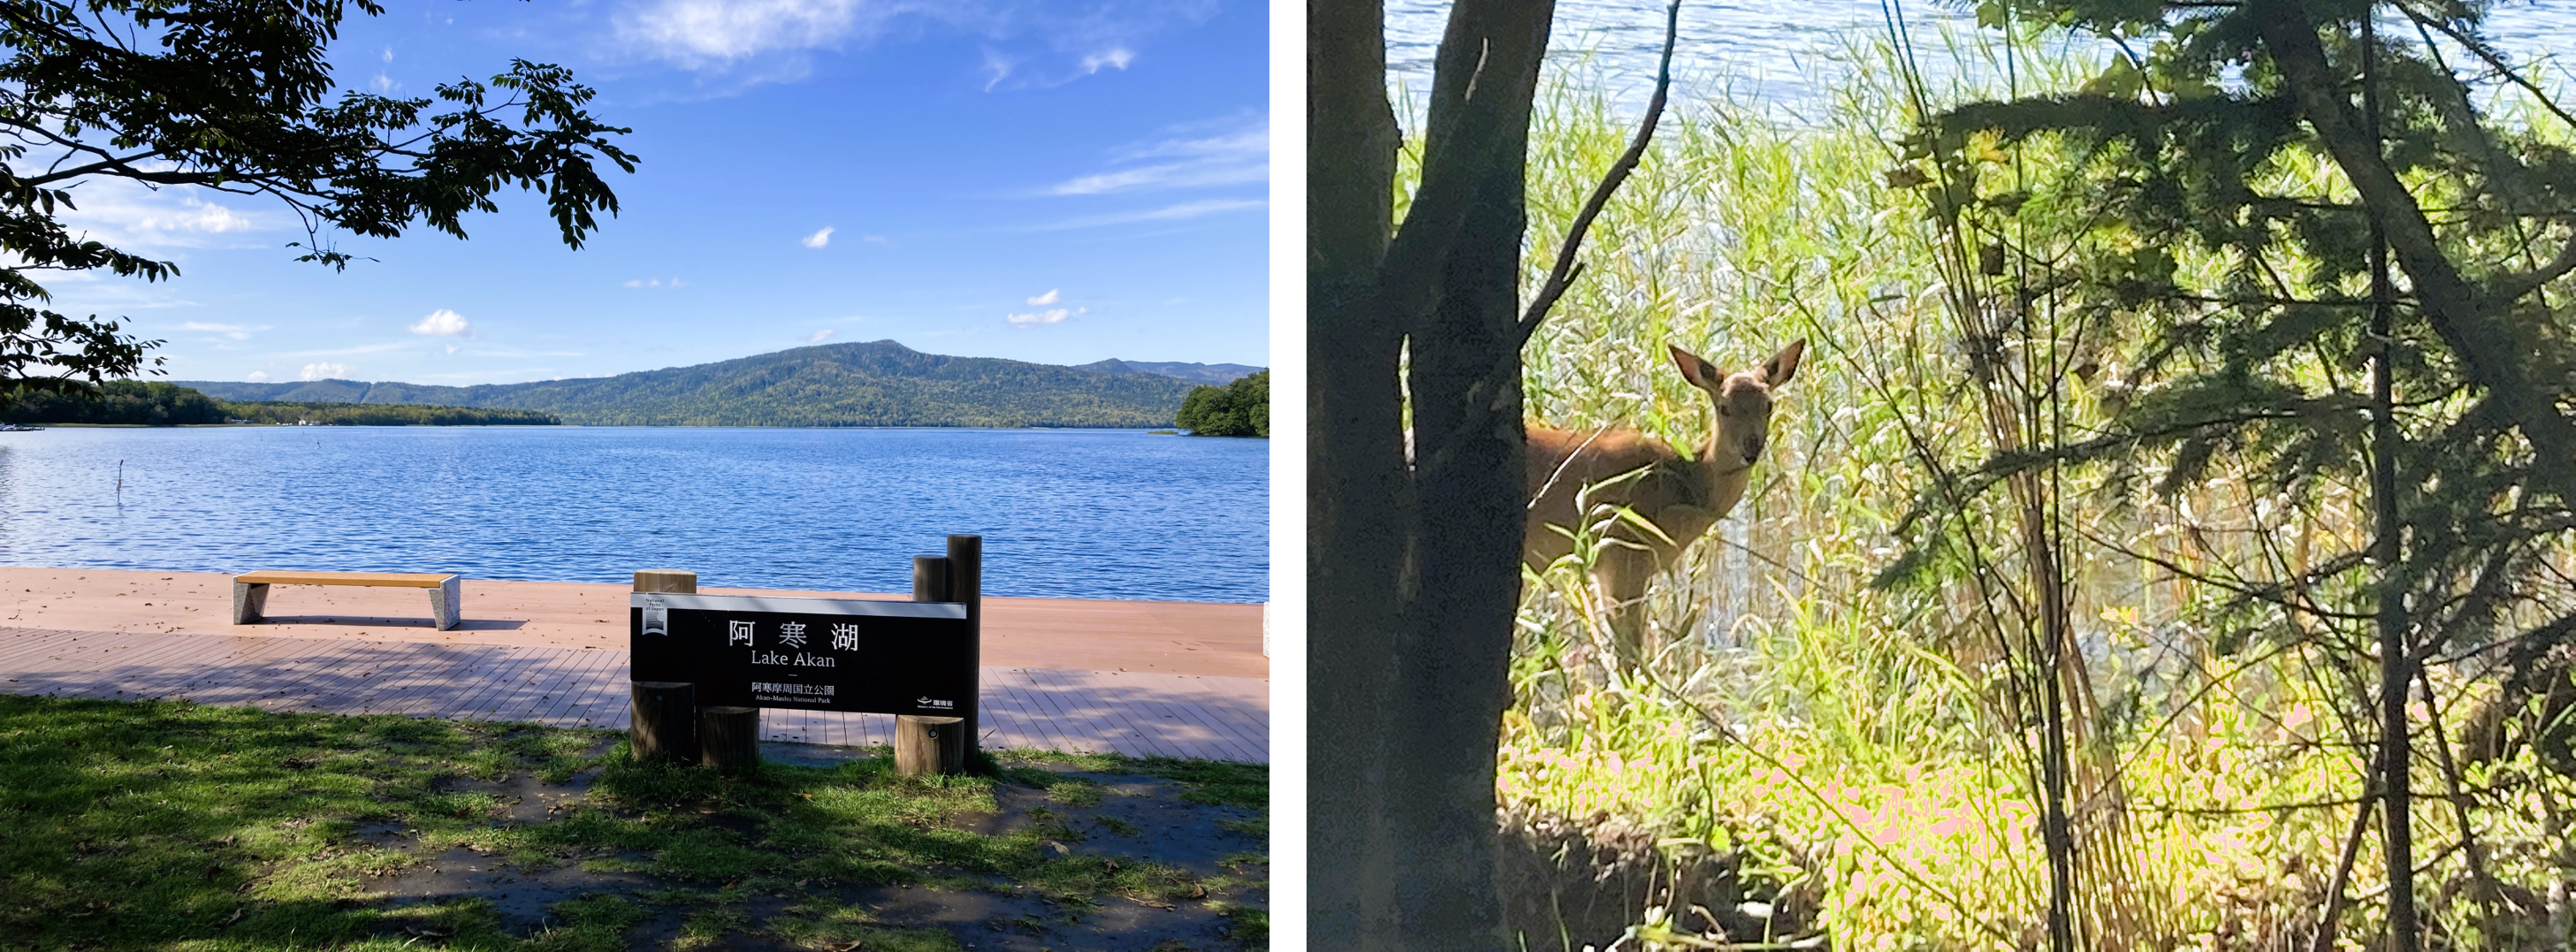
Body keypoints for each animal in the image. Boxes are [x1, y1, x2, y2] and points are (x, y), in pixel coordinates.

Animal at [1514, 339, 1802, 674]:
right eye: (1724, 407)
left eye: (1768, 405)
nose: (1750, 449)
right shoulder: (1624, 555)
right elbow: (1628, 654)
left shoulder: (1605, 565)